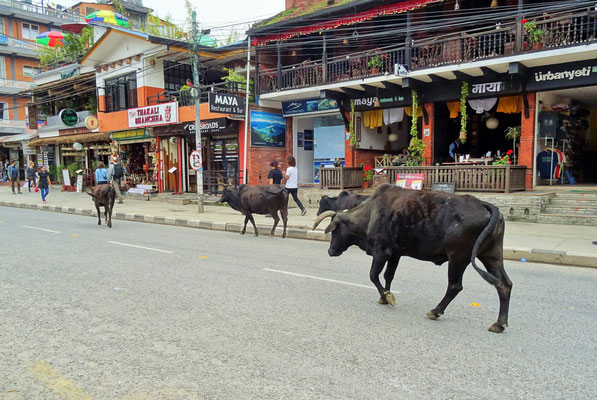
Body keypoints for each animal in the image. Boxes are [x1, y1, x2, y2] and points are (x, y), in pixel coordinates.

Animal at [312, 183, 512, 332]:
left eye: (334, 230)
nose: (330, 251)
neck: (370, 214)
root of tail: (485, 205)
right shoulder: (395, 254)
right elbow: (388, 276)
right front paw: (384, 296)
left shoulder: (381, 252)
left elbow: (373, 275)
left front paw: (387, 296)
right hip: (492, 256)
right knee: (504, 285)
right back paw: (499, 323)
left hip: (458, 259)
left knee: (455, 286)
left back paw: (435, 311)